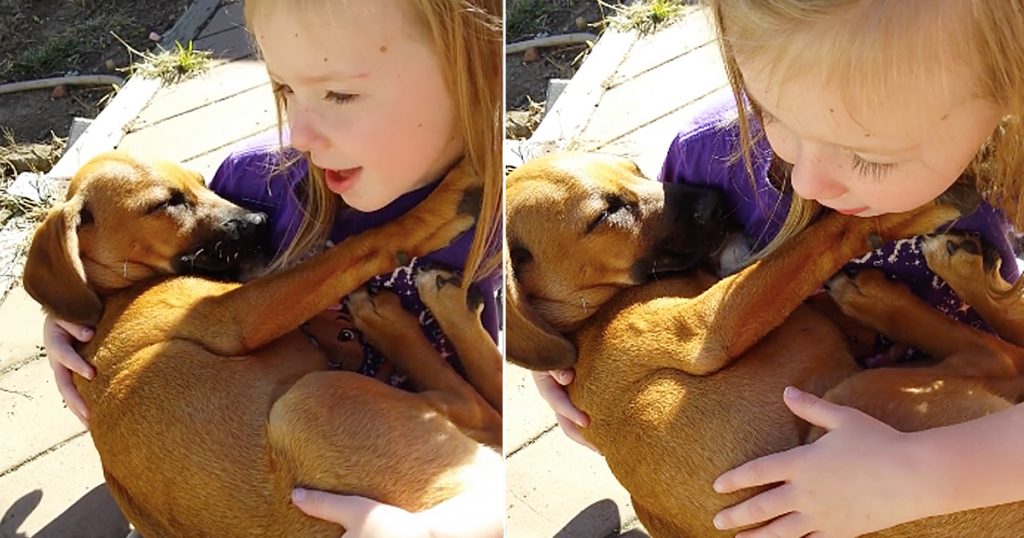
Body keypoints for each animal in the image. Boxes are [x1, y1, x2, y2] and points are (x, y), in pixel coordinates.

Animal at [24, 149, 499, 536]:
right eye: (167, 203)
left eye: (203, 181)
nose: (260, 222)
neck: (112, 298)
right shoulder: (236, 316)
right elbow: (360, 246)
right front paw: (440, 206)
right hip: (308, 400)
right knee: (478, 407)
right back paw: (403, 313)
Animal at [507, 151, 1024, 536]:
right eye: (606, 214)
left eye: (635, 167)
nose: (713, 200)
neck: (587, 323)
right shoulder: (706, 329)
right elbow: (823, 235)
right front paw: (900, 210)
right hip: (854, 398)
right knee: (998, 357)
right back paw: (905, 286)